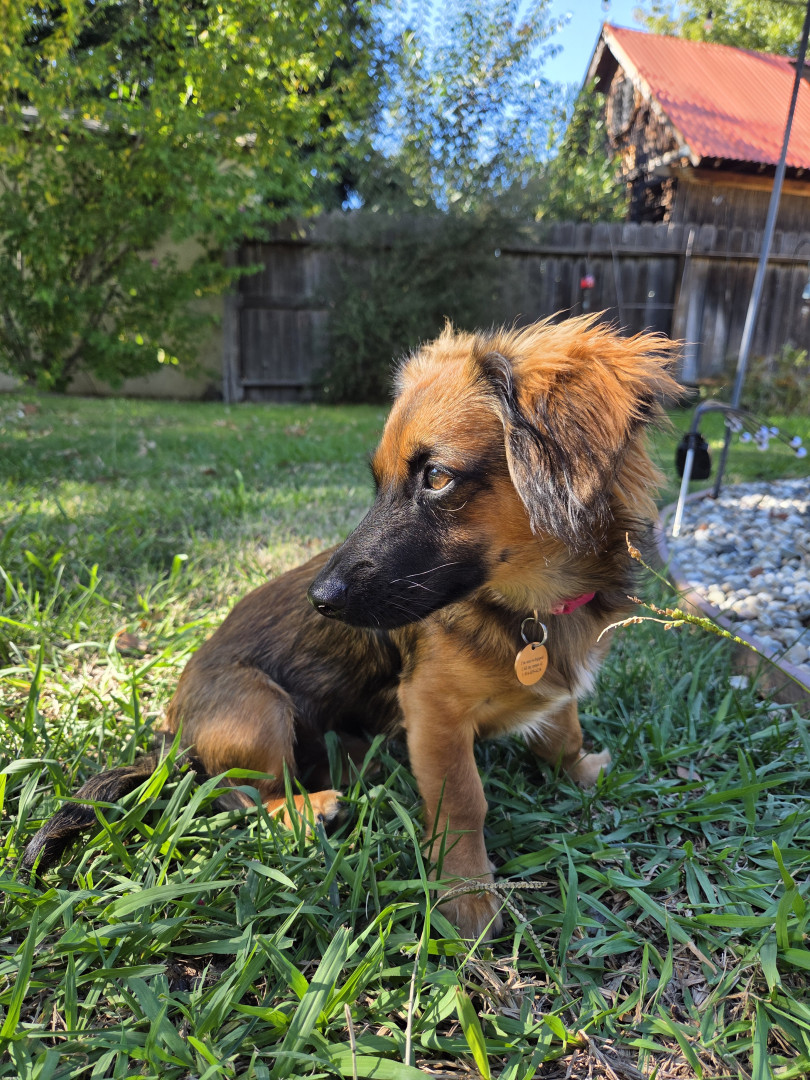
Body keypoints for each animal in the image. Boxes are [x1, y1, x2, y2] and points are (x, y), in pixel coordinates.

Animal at [21, 315, 680, 939]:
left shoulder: (550, 689)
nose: (320, 600)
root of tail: (171, 736)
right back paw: (307, 807)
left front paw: (582, 769)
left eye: (437, 476)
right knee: (236, 795)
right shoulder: (432, 710)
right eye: (379, 480)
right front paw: (466, 895)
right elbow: (464, 801)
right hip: (257, 707)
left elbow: (563, 728)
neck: (532, 609)